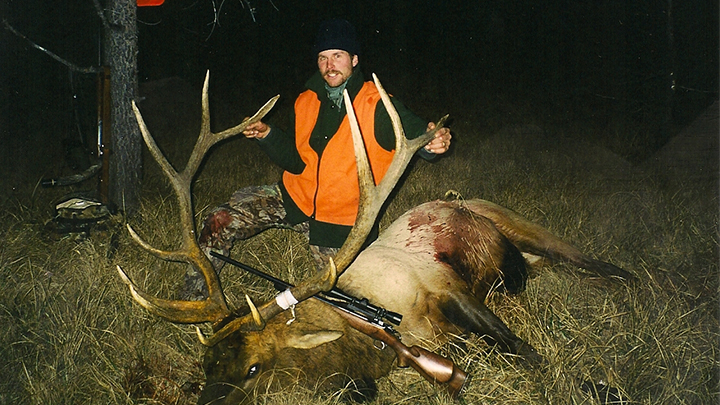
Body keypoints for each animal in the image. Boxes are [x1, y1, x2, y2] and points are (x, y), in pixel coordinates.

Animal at [115, 71, 632, 402]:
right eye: (207, 366)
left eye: (254, 368)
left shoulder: (447, 288)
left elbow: (522, 351)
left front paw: (600, 388)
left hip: (519, 223)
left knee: (588, 259)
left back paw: (627, 281)